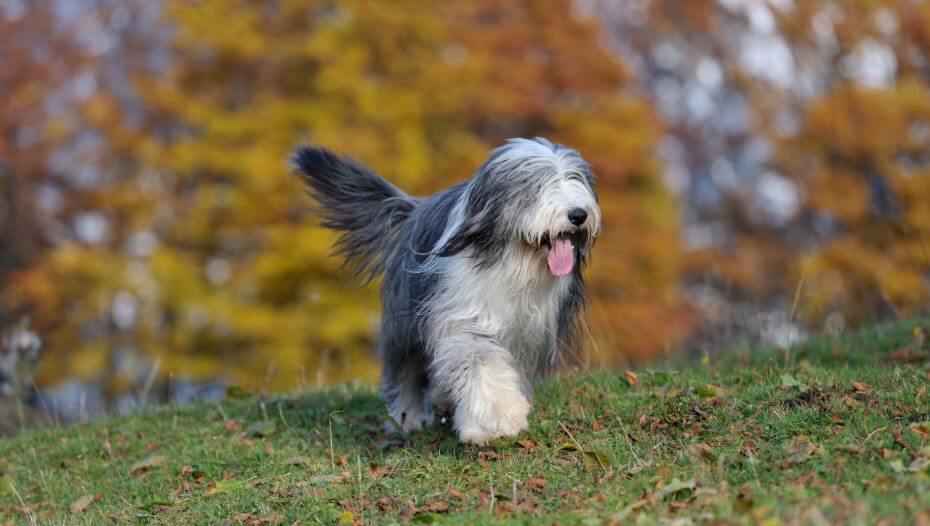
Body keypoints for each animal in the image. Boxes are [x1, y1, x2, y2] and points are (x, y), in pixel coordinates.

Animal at [296, 137, 600, 446]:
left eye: (576, 178)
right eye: (536, 185)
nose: (578, 214)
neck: (513, 264)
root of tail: (413, 208)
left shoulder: (529, 334)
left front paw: (478, 426)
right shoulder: (462, 315)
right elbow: (479, 362)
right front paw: (504, 414)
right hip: (405, 320)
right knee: (404, 368)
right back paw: (408, 417)